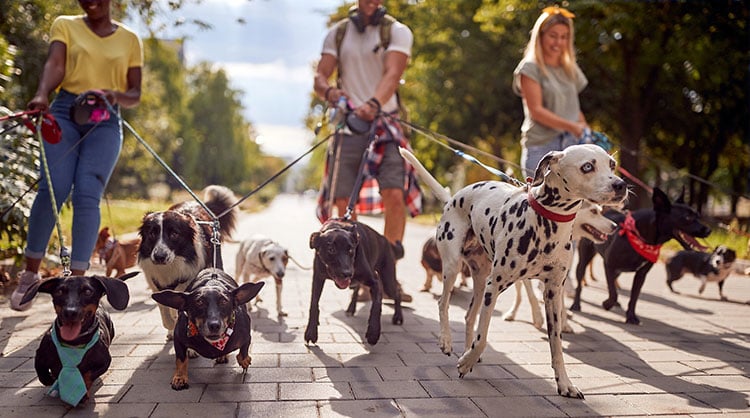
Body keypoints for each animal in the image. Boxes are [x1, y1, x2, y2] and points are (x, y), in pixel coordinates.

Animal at [402, 146, 632, 398]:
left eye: (612, 165)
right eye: (587, 166)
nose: (620, 185)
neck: (548, 225)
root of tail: (452, 198)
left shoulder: (553, 293)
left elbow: (556, 345)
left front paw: (564, 383)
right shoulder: (495, 286)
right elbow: (483, 337)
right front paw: (465, 363)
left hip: (481, 282)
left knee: (469, 316)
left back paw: (467, 352)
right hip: (454, 267)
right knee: (443, 303)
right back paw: (447, 341)